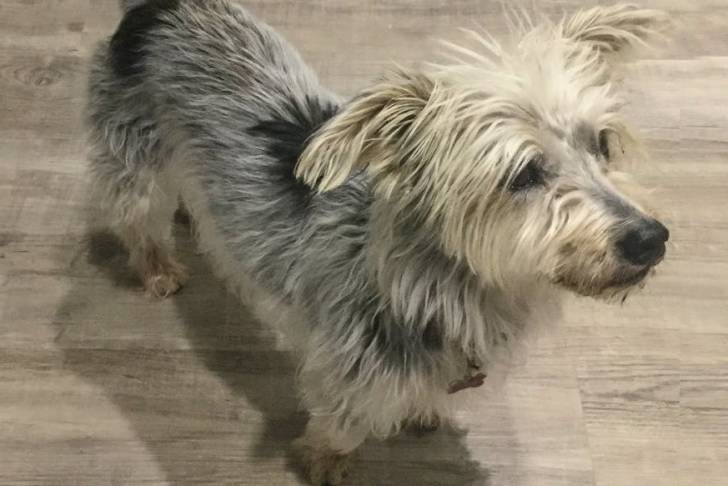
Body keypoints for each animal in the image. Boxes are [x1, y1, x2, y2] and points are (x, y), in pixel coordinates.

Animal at [86, 1, 672, 484]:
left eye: (602, 143)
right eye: (524, 174)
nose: (652, 239)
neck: (448, 286)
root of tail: (156, 8)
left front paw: (424, 411)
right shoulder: (348, 373)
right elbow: (340, 425)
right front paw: (324, 462)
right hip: (135, 159)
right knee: (134, 216)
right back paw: (158, 267)